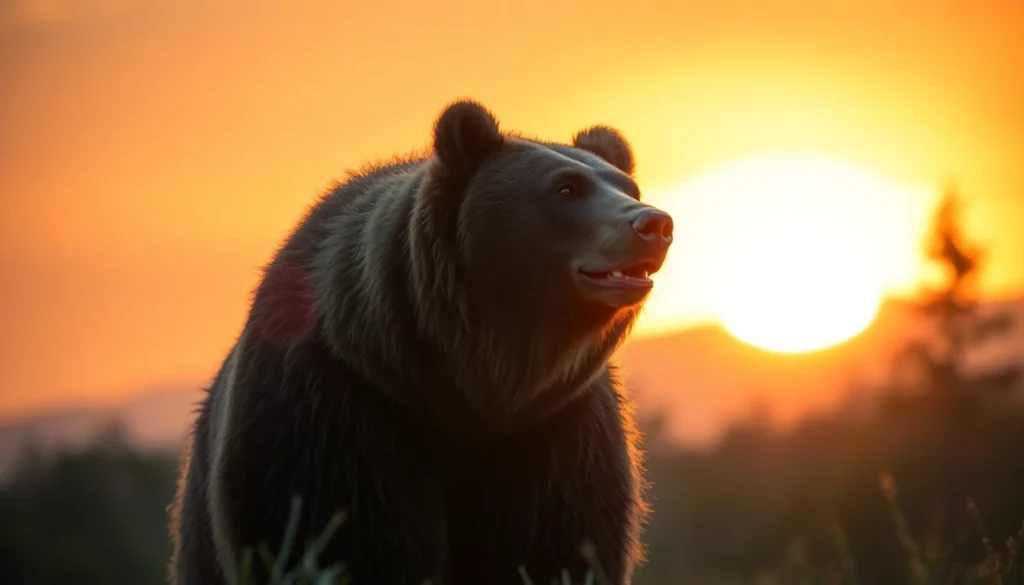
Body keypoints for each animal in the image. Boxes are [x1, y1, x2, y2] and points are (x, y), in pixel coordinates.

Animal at [168, 99, 675, 585]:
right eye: (566, 188)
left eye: (628, 188)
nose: (654, 224)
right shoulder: (338, 402)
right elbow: (341, 531)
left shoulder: (556, 425)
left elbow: (557, 540)